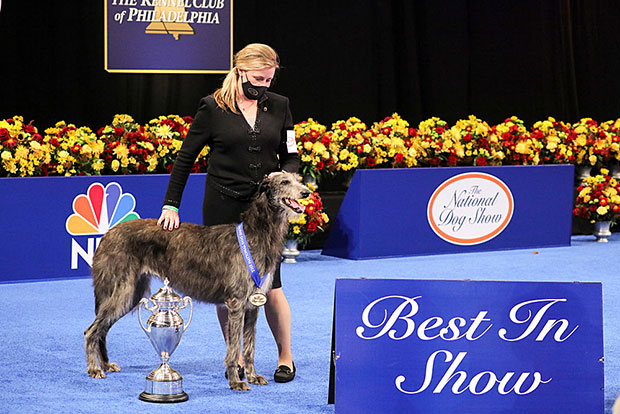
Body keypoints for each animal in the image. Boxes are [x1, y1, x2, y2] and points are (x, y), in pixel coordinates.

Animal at [85, 172, 310, 392]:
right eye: (284, 181)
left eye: (298, 179)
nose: (306, 192)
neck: (255, 233)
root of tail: (108, 234)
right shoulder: (237, 303)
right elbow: (234, 347)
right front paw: (235, 381)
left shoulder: (254, 303)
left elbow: (249, 347)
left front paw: (253, 376)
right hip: (122, 290)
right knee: (91, 331)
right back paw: (94, 368)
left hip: (133, 293)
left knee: (102, 329)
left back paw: (105, 364)